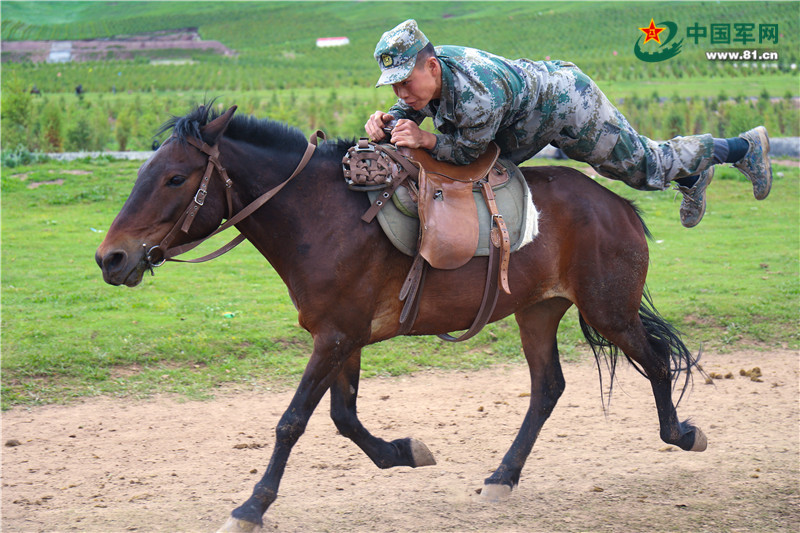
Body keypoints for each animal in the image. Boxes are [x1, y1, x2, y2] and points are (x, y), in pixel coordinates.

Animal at [95, 105, 708, 532]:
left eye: (175, 178)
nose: (111, 259)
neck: (323, 217)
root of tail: (619, 206)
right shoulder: (342, 338)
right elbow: (343, 417)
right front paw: (403, 453)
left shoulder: (335, 337)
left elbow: (292, 422)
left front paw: (252, 505)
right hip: (538, 312)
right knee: (548, 388)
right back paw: (503, 476)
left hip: (610, 311)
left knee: (656, 362)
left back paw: (680, 433)